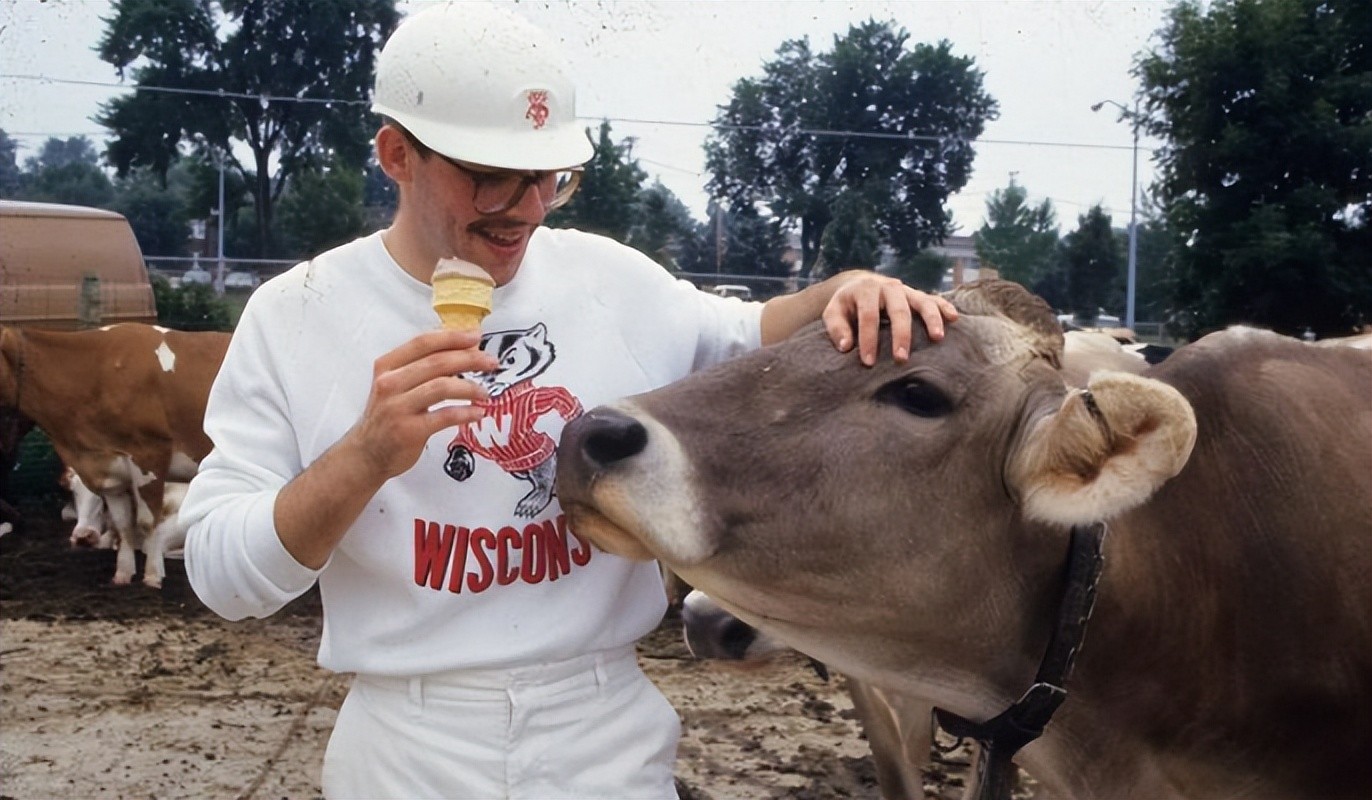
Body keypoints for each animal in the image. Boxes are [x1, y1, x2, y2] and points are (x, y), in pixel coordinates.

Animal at [0, 324, 229, 587]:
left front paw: (152, 576)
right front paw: (123, 574)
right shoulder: (110, 468)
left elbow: (147, 521)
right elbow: (122, 524)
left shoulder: (149, 454)